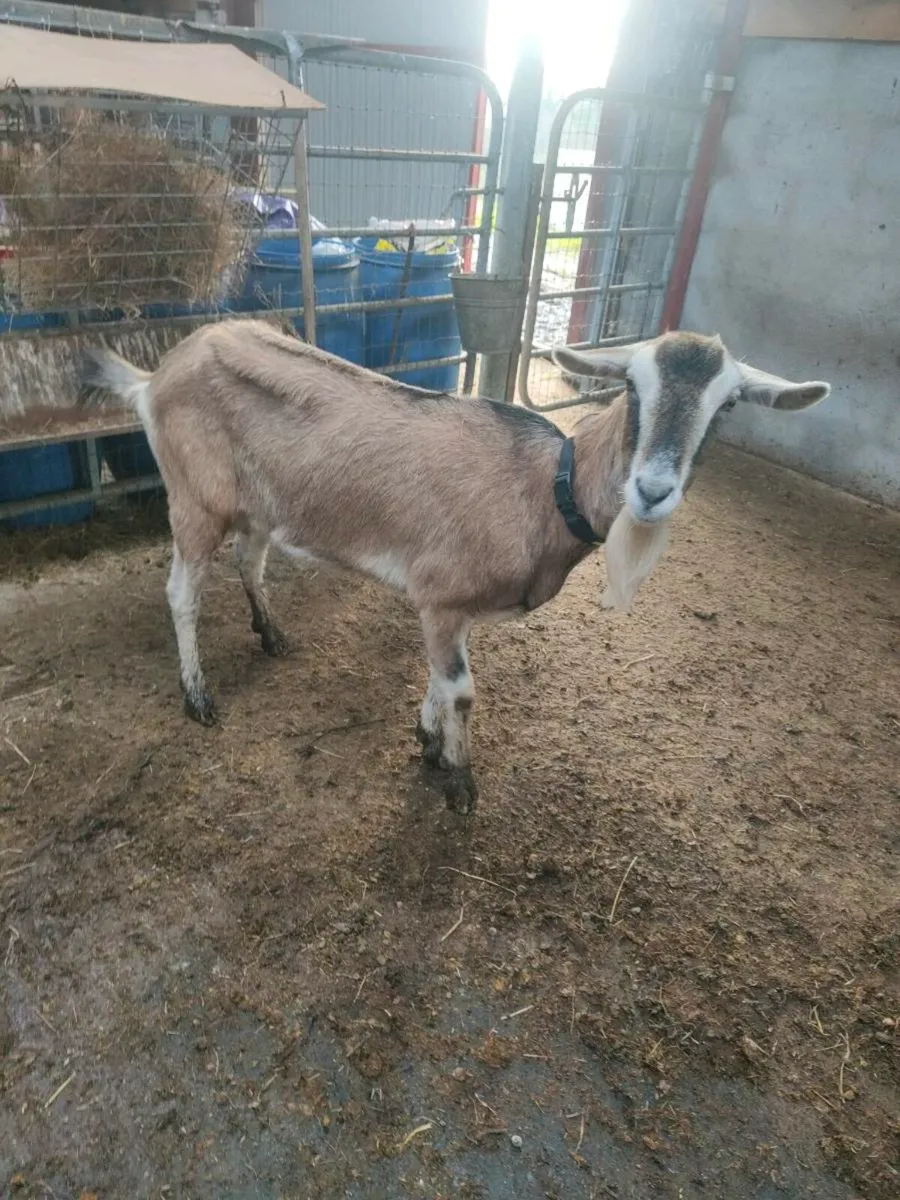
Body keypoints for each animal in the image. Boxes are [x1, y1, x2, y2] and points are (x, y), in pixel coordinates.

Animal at [80, 321, 830, 811]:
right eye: (633, 390)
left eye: (727, 406)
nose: (651, 491)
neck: (542, 486)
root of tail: (157, 375)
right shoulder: (439, 598)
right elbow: (463, 689)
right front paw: (458, 780)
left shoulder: (451, 607)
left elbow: (443, 680)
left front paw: (427, 738)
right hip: (194, 498)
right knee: (181, 591)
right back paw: (198, 696)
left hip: (259, 500)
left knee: (251, 555)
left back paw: (272, 634)